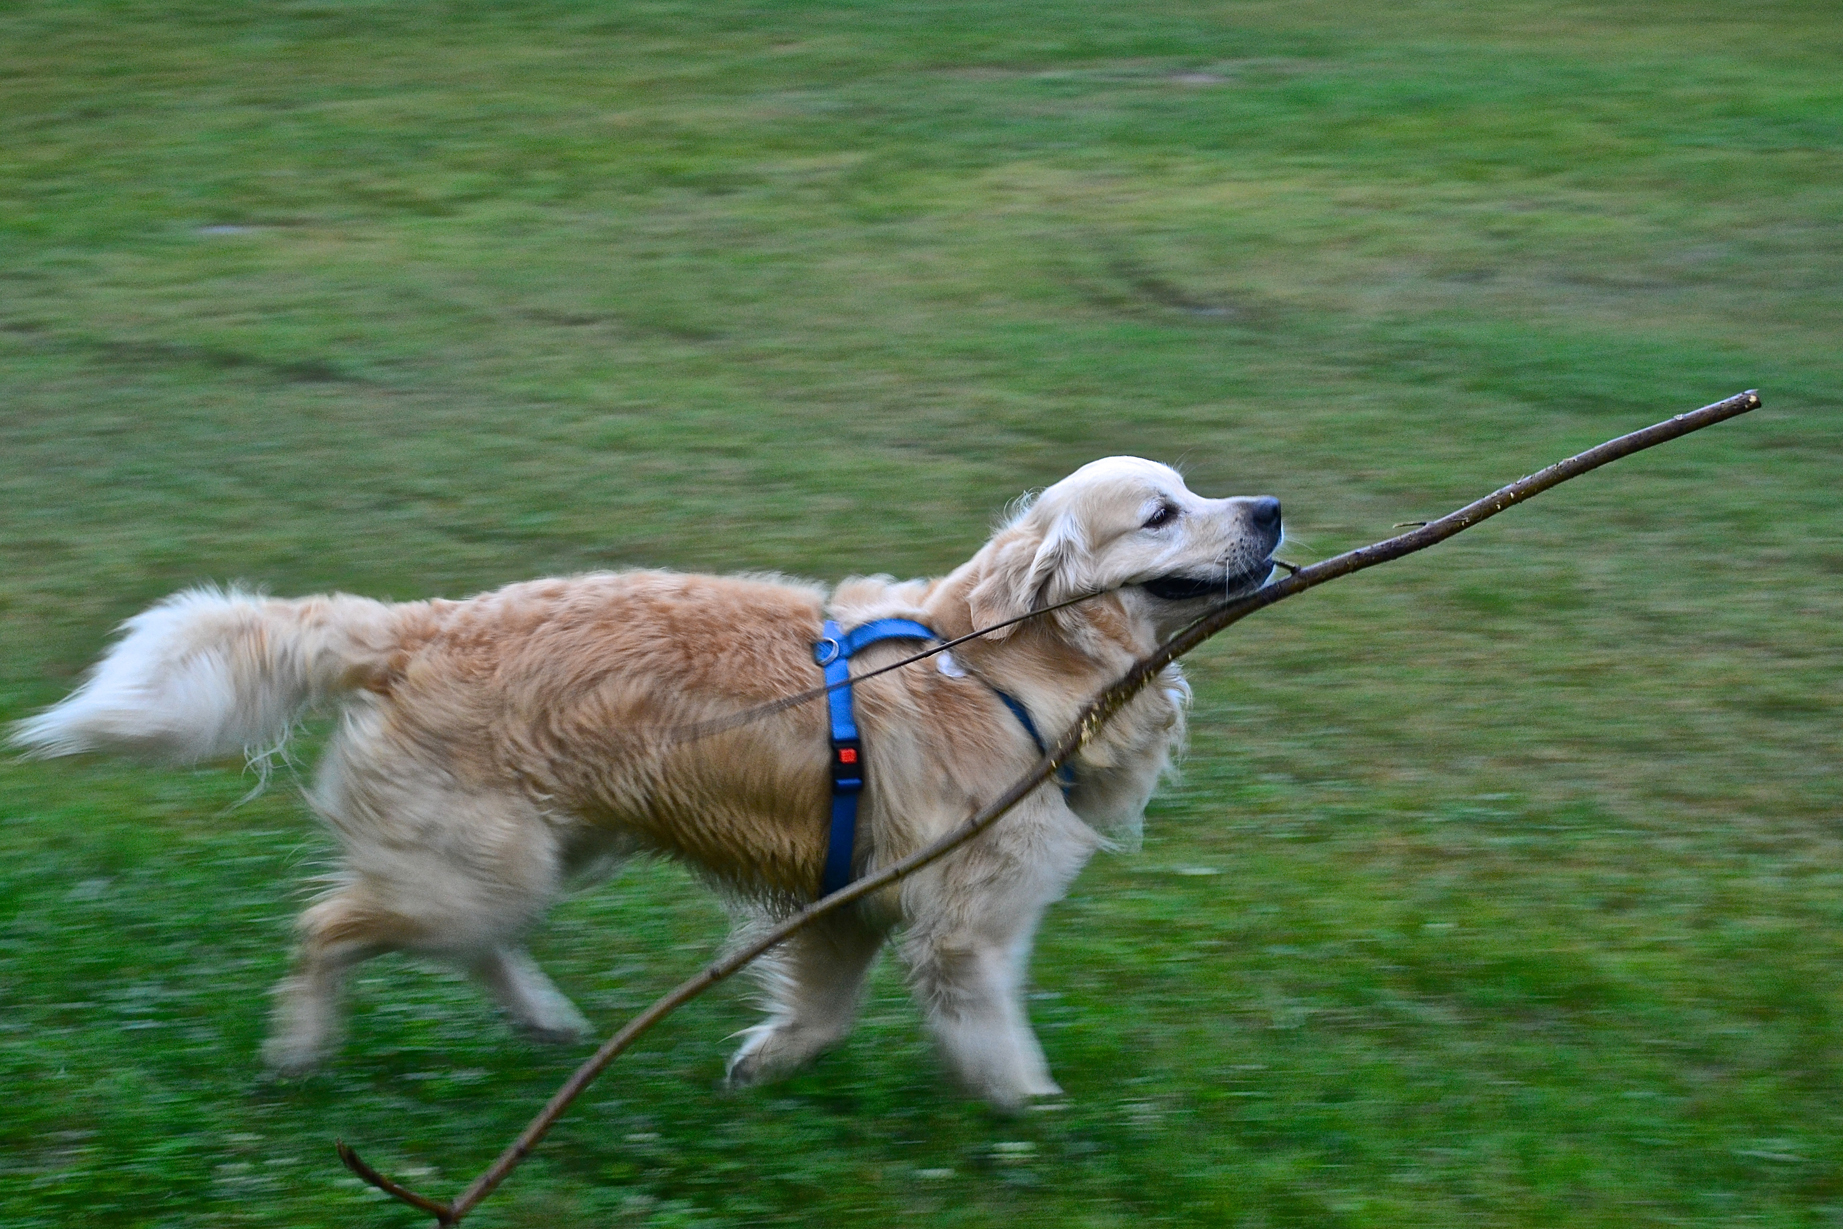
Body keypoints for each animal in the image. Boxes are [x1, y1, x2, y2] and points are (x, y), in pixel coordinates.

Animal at [14, 456, 1282, 1112]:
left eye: (1195, 485)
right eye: (1160, 512)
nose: (1270, 505)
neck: (1010, 667)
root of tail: (413, 625)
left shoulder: (847, 894)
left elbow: (822, 1009)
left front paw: (763, 1061)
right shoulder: (967, 923)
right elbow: (1001, 1047)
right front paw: (1039, 1116)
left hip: (537, 850)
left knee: (463, 940)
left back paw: (542, 1017)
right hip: (481, 865)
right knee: (327, 925)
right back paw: (301, 1045)